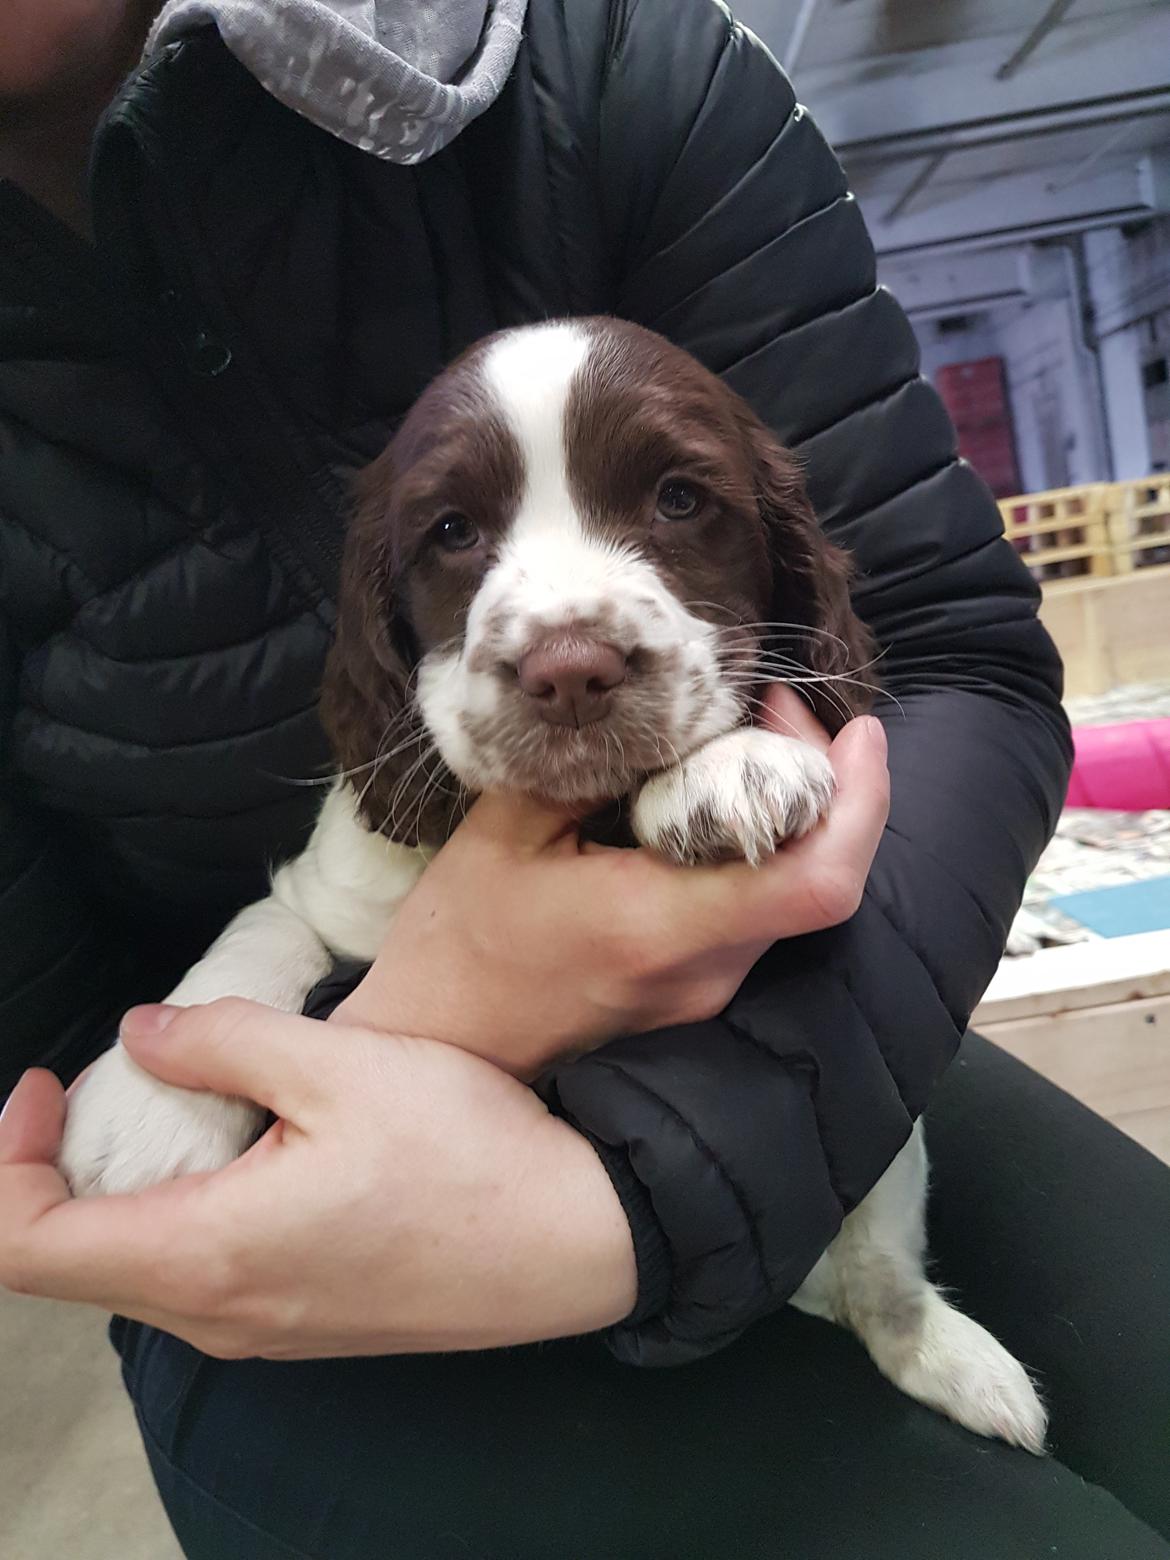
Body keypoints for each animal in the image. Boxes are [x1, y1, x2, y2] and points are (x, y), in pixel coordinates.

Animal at [59, 316, 1048, 1447]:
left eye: (678, 500)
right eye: (451, 530)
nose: (569, 669)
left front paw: (722, 768)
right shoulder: (330, 886)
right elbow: (261, 936)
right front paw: (143, 1108)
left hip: (893, 1153)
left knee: (880, 1273)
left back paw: (958, 1362)